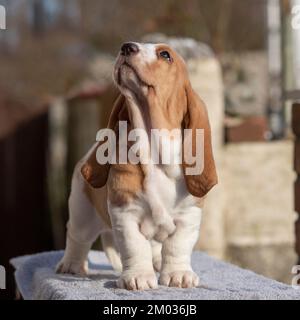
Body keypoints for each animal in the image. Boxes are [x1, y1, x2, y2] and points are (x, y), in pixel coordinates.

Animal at [56, 42, 217, 290]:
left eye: (165, 55)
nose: (127, 47)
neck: (155, 155)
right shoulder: (126, 214)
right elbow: (135, 247)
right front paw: (139, 277)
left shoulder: (189, 215)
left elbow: (177, 246)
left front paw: (178, 274)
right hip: (82, 211)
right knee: (77, 238)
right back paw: (72, 265)